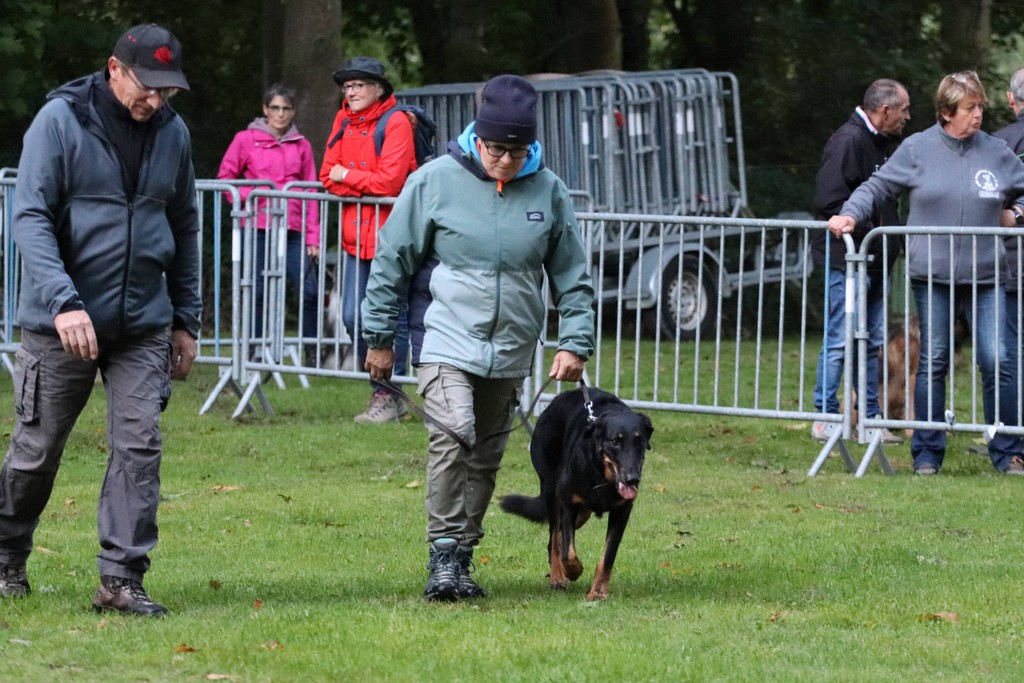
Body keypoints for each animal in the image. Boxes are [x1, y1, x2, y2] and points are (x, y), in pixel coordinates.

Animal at [500, 387, 653, 600]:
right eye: (615, 442)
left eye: (640, 442)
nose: (632, 479)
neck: (601, 475)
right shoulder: (567, 504)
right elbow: (567, 551)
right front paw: (573, 570)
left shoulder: (621, 512)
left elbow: (608, 554)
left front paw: (598, 592)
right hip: (552, 493)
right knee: (555, 539)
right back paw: (558, 577)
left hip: (582, 514)